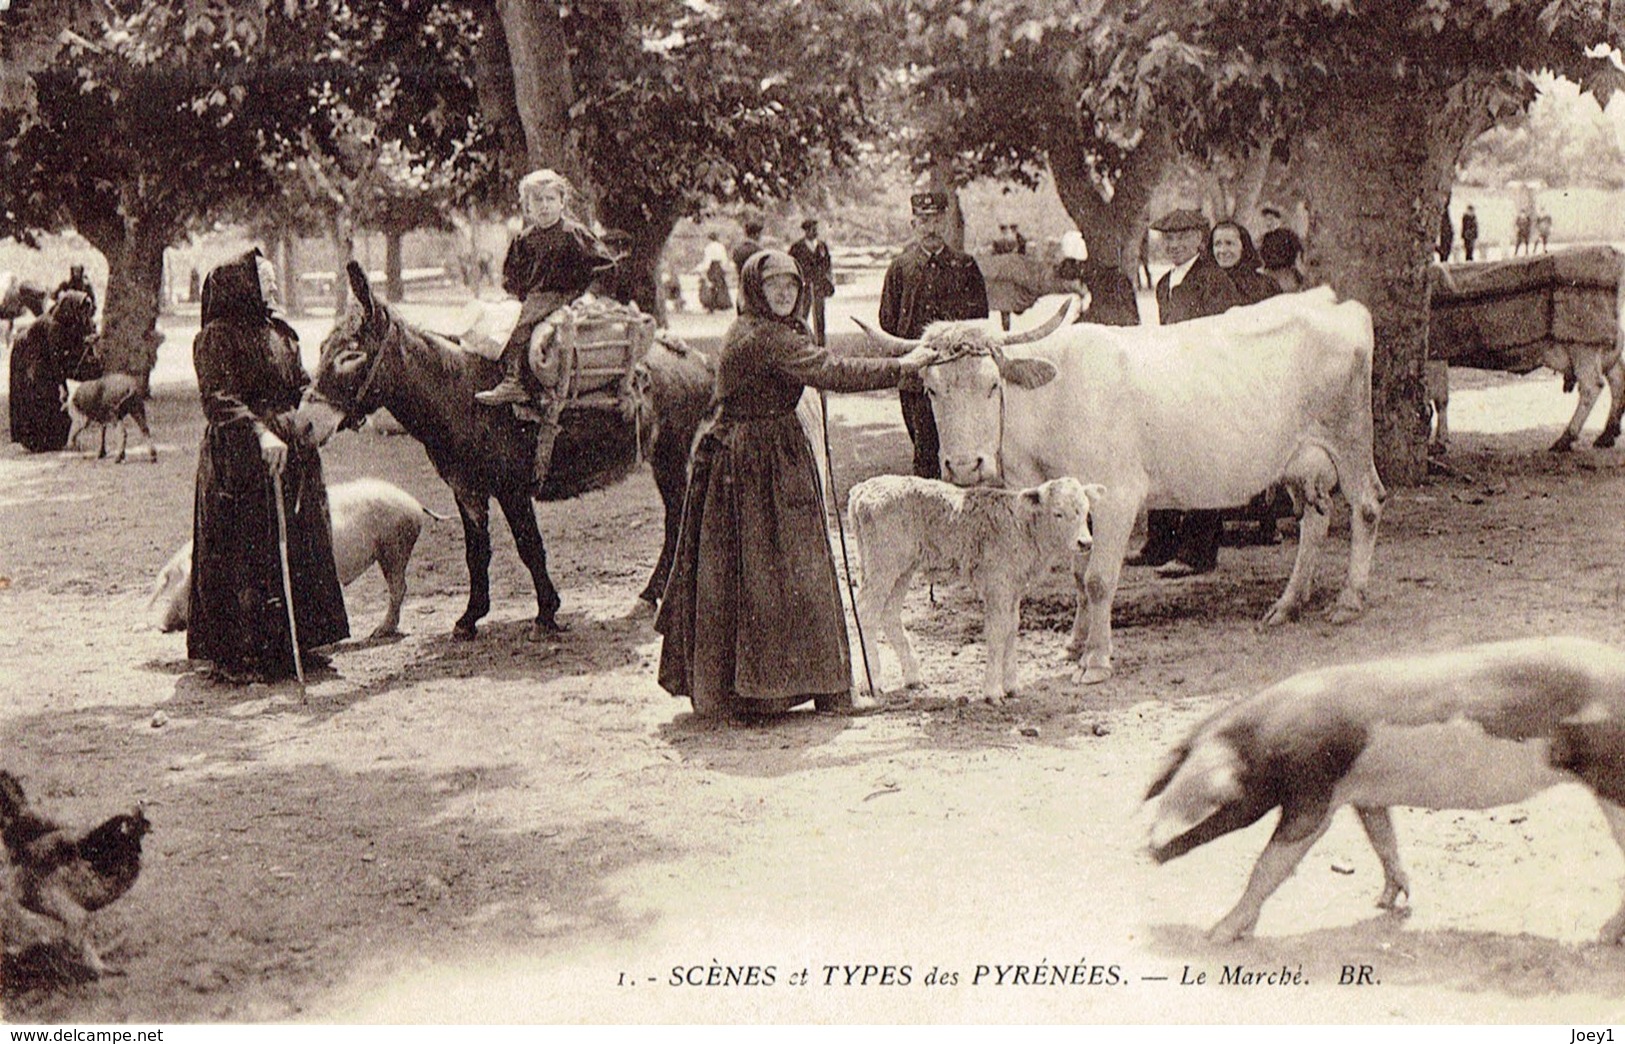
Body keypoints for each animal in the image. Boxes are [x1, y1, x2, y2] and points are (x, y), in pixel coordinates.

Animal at [851, 474, 1105, 702]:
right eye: (1058, 513)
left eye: (1085, 512)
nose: (1085, 543)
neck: (1023, 527)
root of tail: (861, 490)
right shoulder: (997, 584)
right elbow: (997, 630)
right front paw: (993, 691)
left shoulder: (1013, 588)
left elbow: (1012, 627)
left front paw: (1012, 687)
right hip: (882, 561)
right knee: (866, 612)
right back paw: (872, 682)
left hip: (902, 566)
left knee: (889, 613)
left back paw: (913, 677)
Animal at [1144, 634, 1625, 943]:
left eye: (1212, 808)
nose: (1145, 850)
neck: (1261, 742)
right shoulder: (1366, 795)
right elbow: (1384, 839)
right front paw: (1389, 902)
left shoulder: (1314, 796)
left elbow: (1269, 866)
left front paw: (1217, 935)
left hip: (1613, 785)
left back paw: (1599, 938)